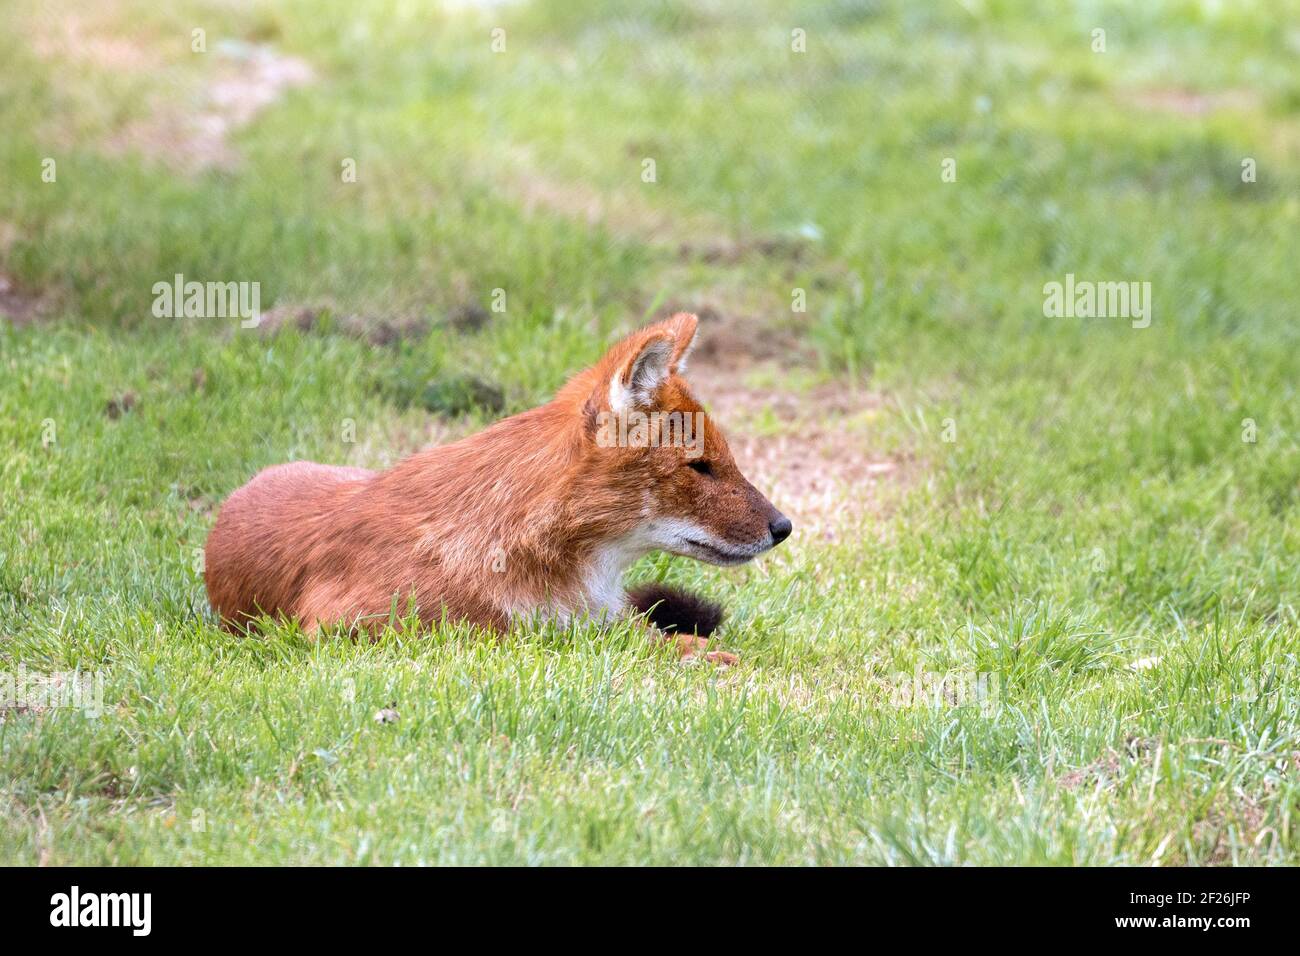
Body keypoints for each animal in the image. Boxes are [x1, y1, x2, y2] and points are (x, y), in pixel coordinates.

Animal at [204, 314, 790, 665]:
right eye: (700, 466)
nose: (783, 527)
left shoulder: (606, 613)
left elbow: (655, 634)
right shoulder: (342, 625)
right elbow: (527, 633)